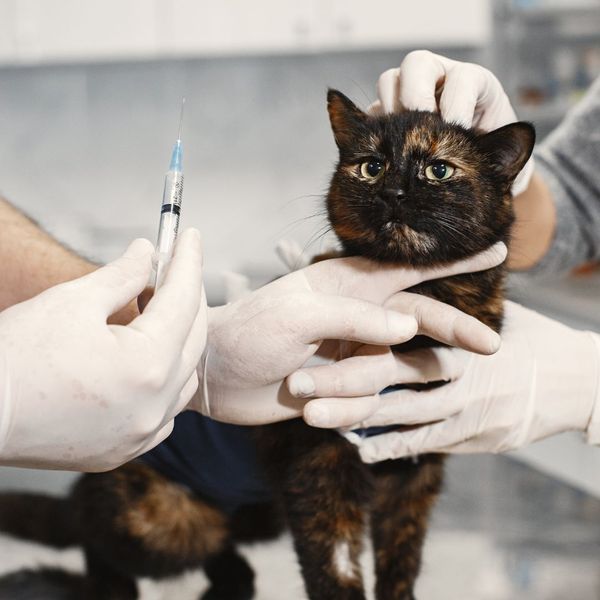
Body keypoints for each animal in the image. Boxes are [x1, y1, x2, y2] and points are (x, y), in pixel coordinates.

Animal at [0, 90, 536, 600]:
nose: (393, 191)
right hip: (160, 520)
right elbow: (334, 567)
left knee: (221, 544)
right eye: (372, 166)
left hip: (258, 513)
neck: (422, 301)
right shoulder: (319, 461)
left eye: (438, 170)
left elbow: (402, 564)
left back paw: (233, 583)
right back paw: (94, 584)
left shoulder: (415, 470)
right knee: (93, 535)